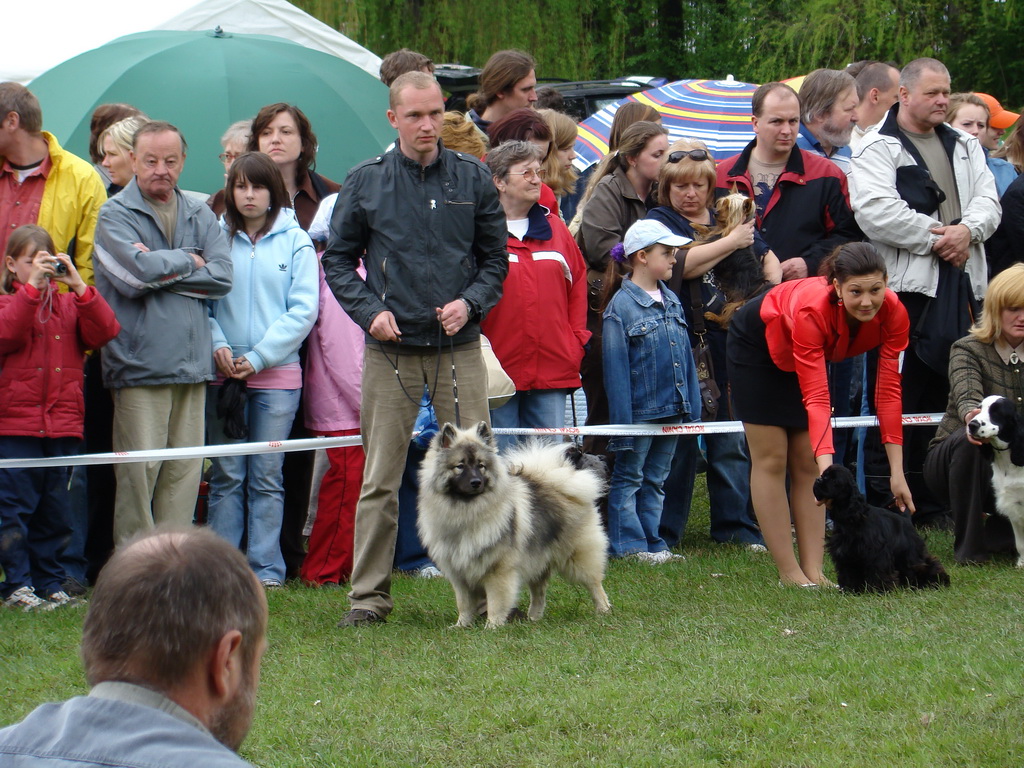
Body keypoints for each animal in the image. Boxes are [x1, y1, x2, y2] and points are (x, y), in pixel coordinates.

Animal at [815, 462, 950, 593]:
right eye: (823, 475)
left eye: (834, 480)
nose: (818, 479)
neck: (851, 518)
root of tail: (907, 522)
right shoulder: (845, 554)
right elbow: (848, 573)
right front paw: (850, 590)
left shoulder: (876, 553)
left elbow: (878, 572)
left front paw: (879, 590)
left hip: (912, 555)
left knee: (928, 565)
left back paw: (937, 581)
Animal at [966, 397, 1024, 565]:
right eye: (979, 408)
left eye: (997, 412)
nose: (972, 425)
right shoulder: (1013, 504)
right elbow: (1020, 543)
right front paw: (1021, 563)